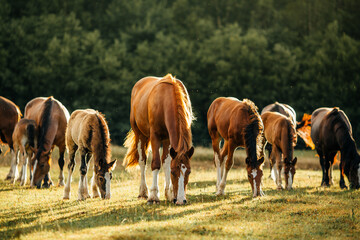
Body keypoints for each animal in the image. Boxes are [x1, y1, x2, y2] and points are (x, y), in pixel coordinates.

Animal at [123, 73, 194, 204]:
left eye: (189, 171)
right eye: (173, 172)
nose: (181, 200)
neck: (165, 100)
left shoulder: (168, 139)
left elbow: (166, 163)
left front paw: (170, 194)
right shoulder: (155, 136)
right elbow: (155, 163)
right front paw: (153, 196)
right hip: (140, 135)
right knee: (142, 161)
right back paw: (143, 192)